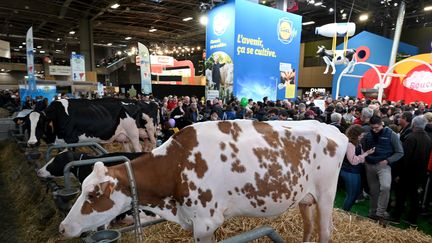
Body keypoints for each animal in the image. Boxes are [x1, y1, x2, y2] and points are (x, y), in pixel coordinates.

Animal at [59, 120, 348, 243]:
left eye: (92, 195)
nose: (62, 228)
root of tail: (331, 128)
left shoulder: (206, 222)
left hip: (326, 193)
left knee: (324, 230)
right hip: (304, 196)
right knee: (308, 225)